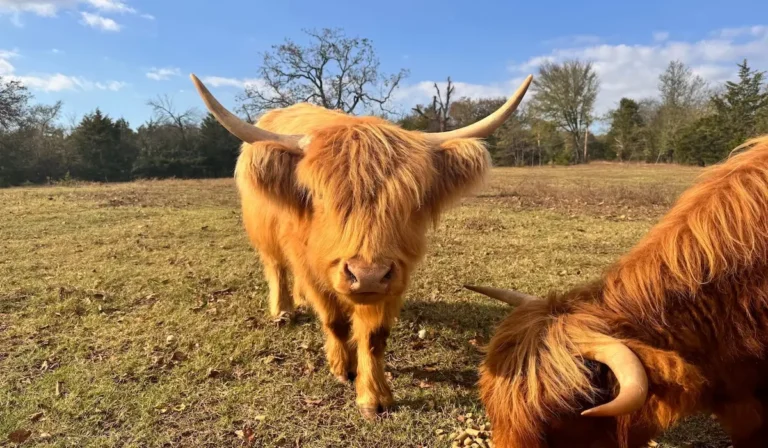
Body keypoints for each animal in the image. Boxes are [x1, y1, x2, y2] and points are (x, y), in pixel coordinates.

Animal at [188, 73, 533, 418]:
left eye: (412, 200)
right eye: (319, 196)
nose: (366, 275)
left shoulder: (395, 277)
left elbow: (374, 337)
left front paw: (374, 396)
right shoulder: (312, 268)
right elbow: (335, 321)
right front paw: (343, 368)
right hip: (265, 235)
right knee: (275, 266)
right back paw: (284, 310)